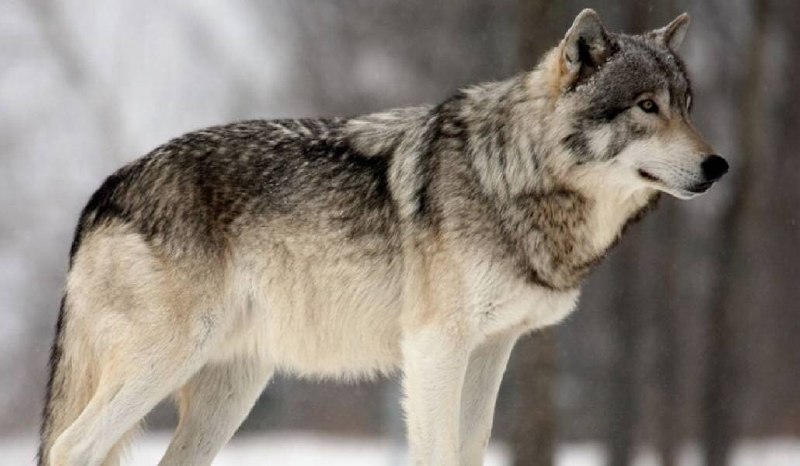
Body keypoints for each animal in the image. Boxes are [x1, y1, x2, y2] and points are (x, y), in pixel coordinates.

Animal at [39, 9, 727, 466]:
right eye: (645, 106)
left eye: (688, 105)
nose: (718, 165)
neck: (510, 176)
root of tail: (106, 190)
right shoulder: (434, 346)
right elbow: (438, 453)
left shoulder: (492, 348)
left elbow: (471, 450)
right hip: (166, 363)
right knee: (71, 447)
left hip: (229, 392)